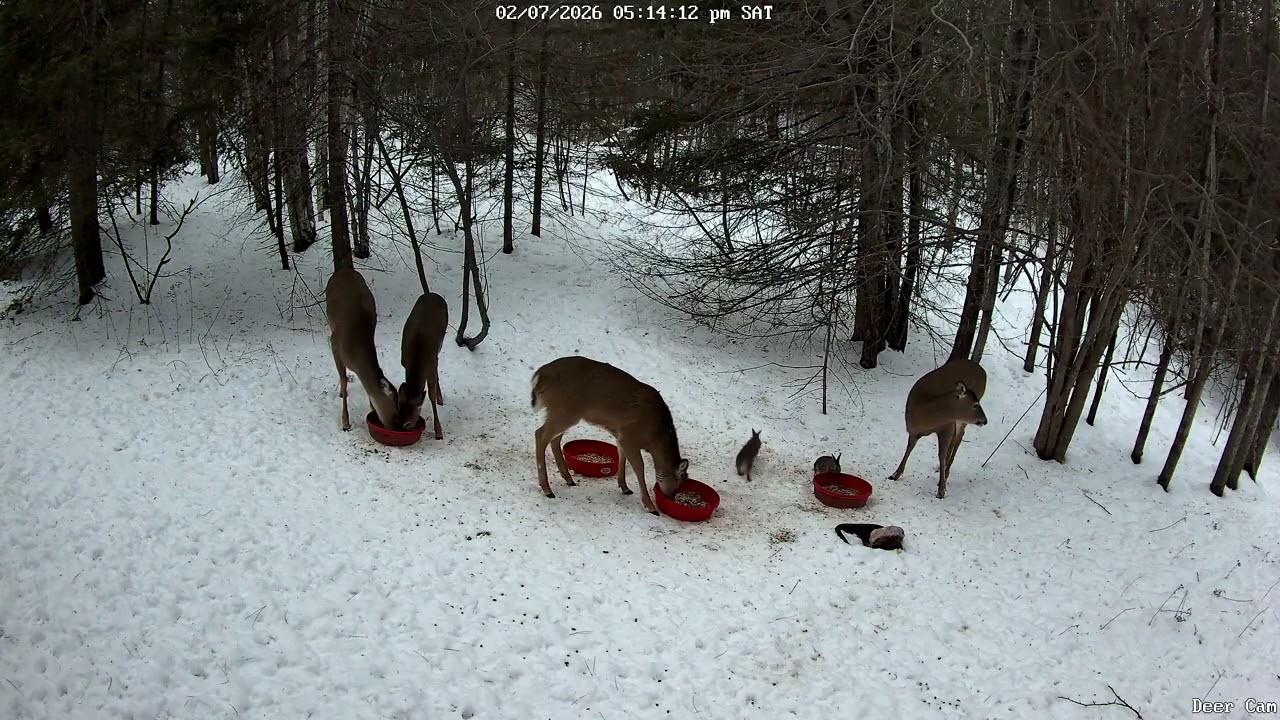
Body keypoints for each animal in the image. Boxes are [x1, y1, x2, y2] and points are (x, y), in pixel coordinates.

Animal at [324, 268, 399, 432]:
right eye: (395, 412)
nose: (393, 427)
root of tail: (344, 269)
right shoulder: (334, 344)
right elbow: (344, 380)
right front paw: (345, 423)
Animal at [396, 292, 448, 439]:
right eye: (397, 417)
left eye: (408, 423)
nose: (399, 433)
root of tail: (432, 294)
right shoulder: (405, 363)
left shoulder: (431, 366)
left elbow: (431, 395)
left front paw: (438, 431)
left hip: (440, 343)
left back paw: (440, 399)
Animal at [530, 355, 690, 515]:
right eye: (679, 483)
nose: (671, 497)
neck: (654, 437)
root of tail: (540, 375)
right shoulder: (630, 436)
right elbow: (639, 467)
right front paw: (650, 506)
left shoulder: (620, 434)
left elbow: (621, 456)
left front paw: (625, 487)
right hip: (564, 411)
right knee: (540, 434)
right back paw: (548, 490)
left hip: (564, 414)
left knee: (554, 439)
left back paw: (568, 479)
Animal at [888, 358, 988, 499]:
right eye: (975, 405)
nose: (985, 420)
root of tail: (982, 370)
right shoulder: (912, 429)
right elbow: (909, 448)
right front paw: (894, 475)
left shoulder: (946, 427)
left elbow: (941, 454)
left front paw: (941, 490)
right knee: (956, 437)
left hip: (961, 420)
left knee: (959, 436)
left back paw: (945, 473)